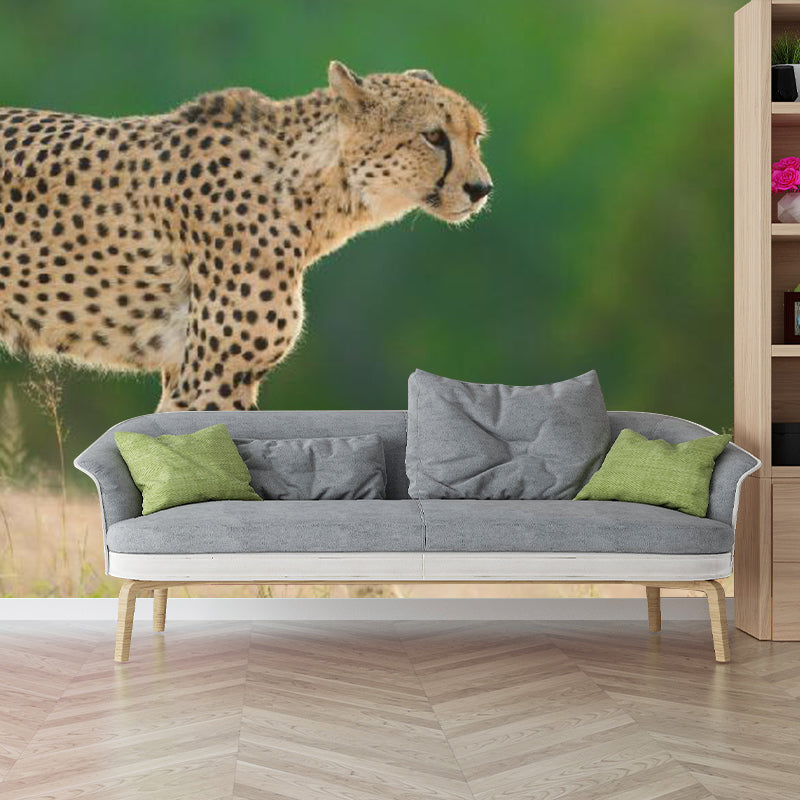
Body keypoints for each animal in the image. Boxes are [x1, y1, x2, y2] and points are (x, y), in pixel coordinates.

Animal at [0, 61, 492, 411]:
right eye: (433, 136)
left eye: (476, 137)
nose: (481, 188)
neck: (308, 187)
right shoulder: (209, 380)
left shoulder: (195, 375)